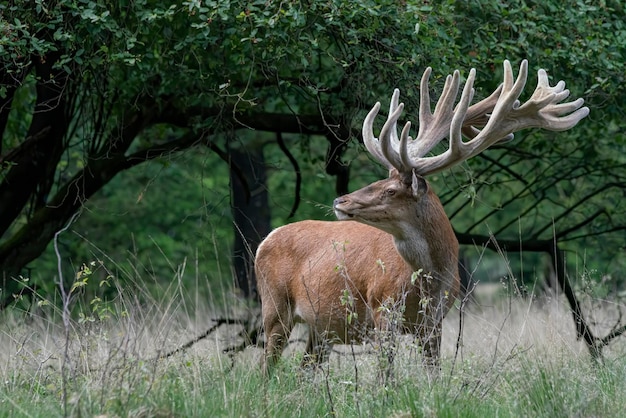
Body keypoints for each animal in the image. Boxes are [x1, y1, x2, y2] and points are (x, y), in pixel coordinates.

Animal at [254, 59, 584, 376]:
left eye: (389, 190)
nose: (339, 200)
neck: (432, 279)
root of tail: (266, 239)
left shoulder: (434, 323)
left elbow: (432, 375)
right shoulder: (382, 309)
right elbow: (385, 376)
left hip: (323, 328)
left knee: (303, 369)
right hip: (274, 307)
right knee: (265, 369)